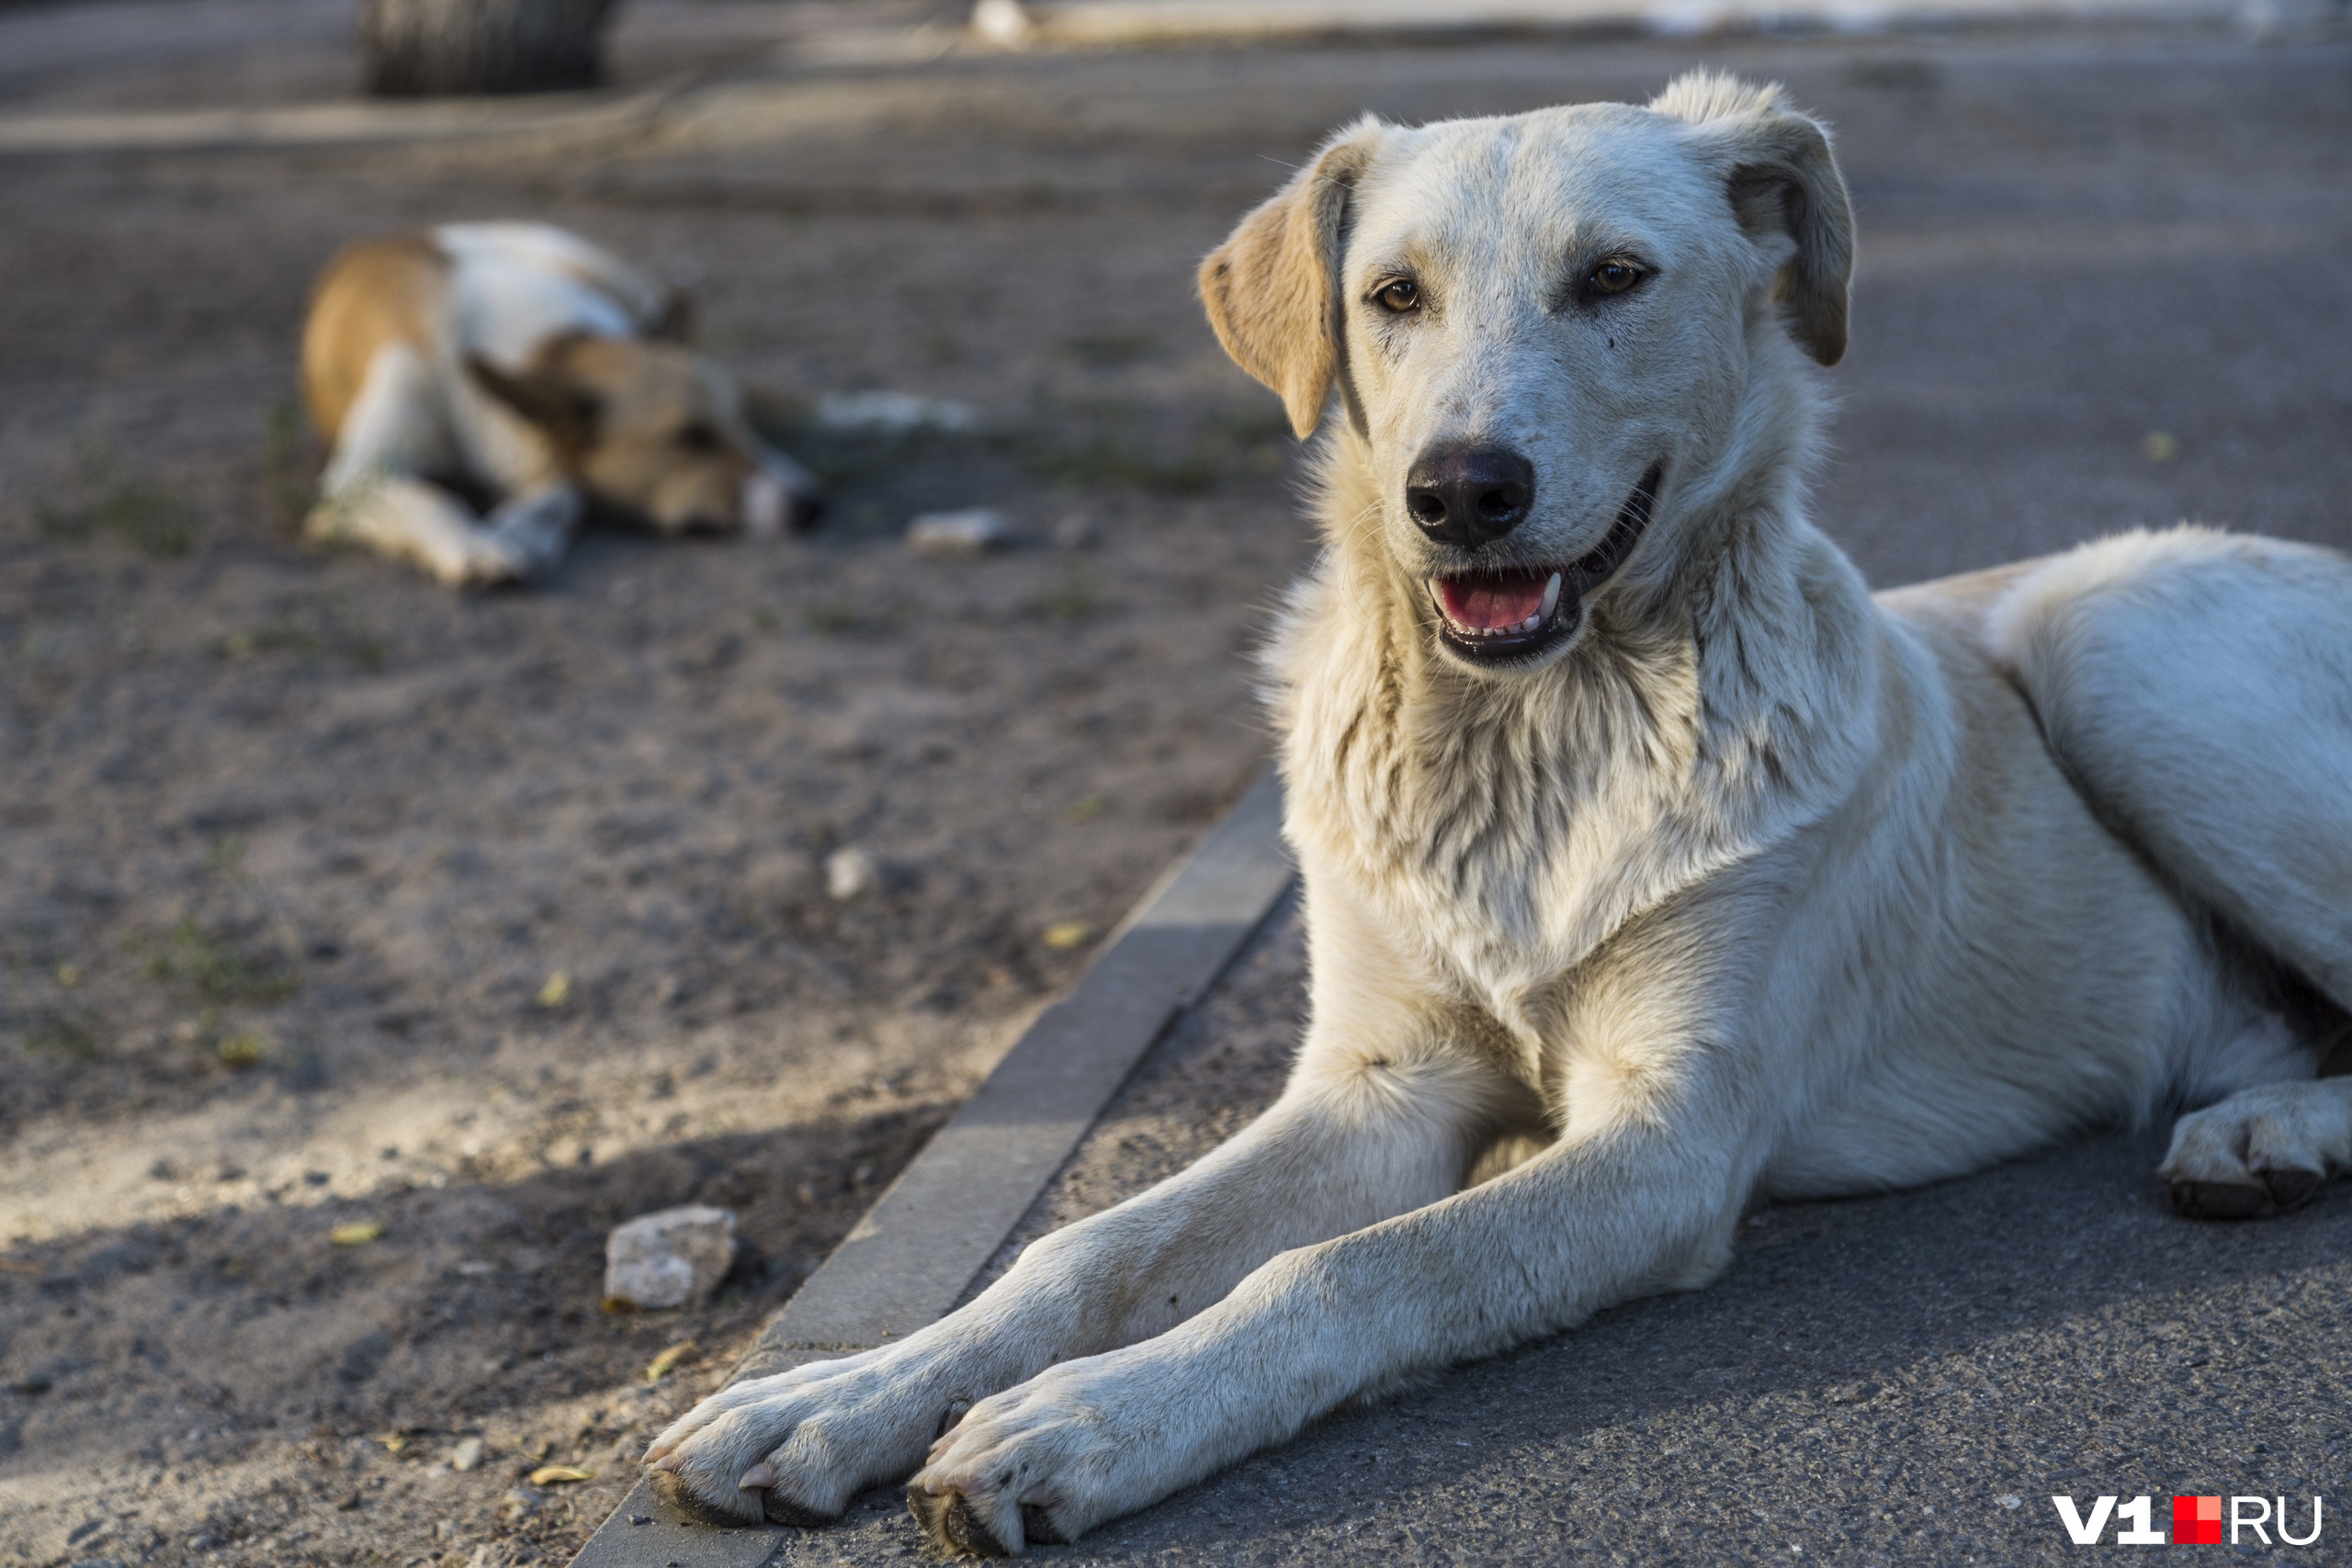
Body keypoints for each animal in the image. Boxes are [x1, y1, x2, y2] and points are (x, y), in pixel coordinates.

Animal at [299, 221, 823, 587]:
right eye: (691, 438)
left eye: (743, 422)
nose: (812, 505)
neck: (556, 348)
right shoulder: (357, 478)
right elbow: (429, 497)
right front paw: (475, 549)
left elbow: (566, 489)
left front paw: (521, 532)